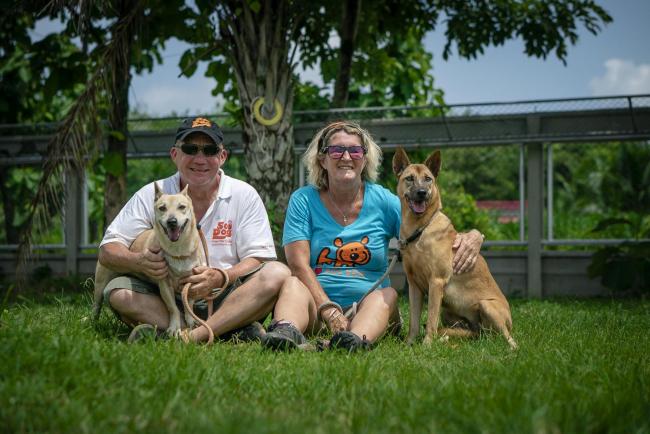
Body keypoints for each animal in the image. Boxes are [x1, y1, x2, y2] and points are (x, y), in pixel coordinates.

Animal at [91, 181, 206, 338]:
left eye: (182, 207)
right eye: (162, 208)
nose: (172, 221)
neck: (178, 249)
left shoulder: (193, 280)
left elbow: (188, 301)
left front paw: (191, 320)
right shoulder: (164, 283)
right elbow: (173, 308)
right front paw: (174, 327)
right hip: (100, 282)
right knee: (97, 304)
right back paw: (92, 322)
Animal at [390, 148, 516, 350]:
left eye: (428, 179)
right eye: (409, 178)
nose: (422, 193)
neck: (420, 229)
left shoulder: (436, 282)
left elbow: (430, 321)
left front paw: (426, 346)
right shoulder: (414, 286)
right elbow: (414, 322)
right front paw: (409, 344)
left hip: (487, 306)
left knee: (508, 337)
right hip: (450, 312)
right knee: (474, 335)